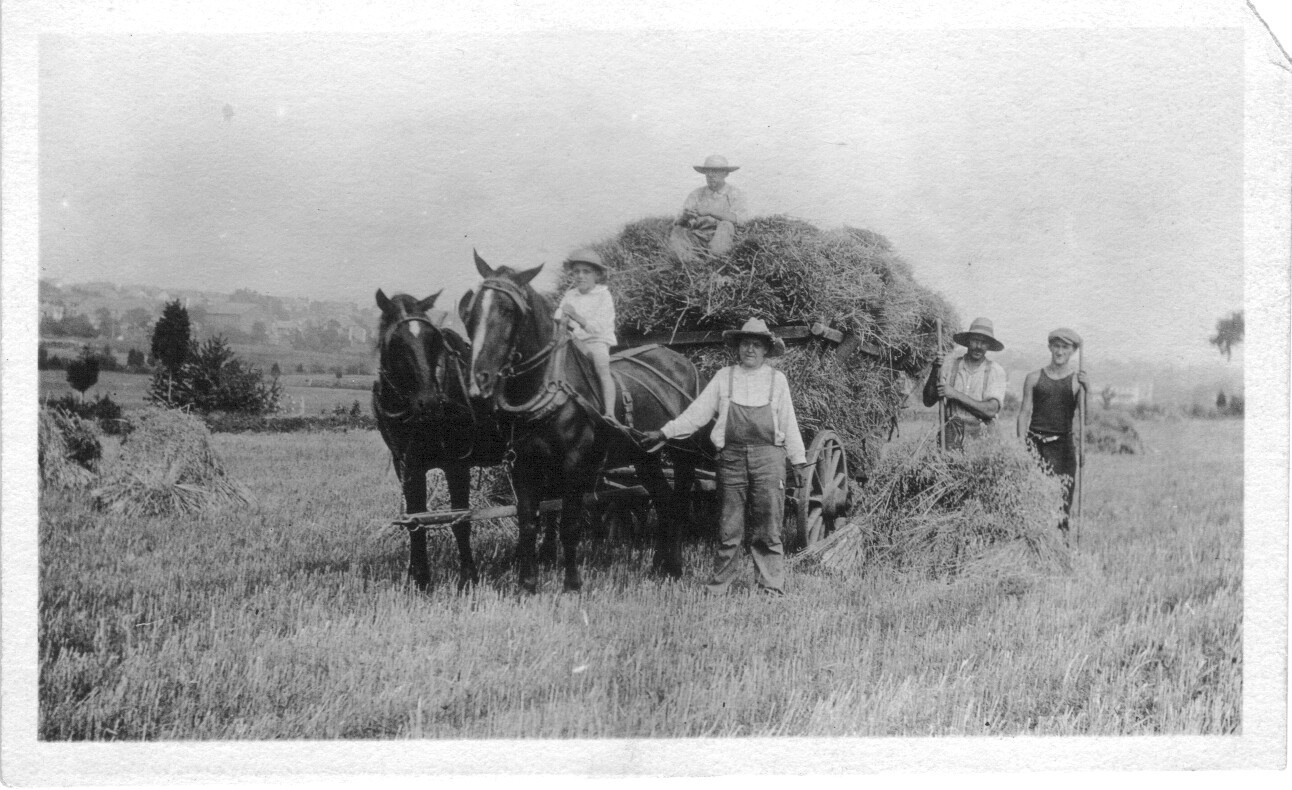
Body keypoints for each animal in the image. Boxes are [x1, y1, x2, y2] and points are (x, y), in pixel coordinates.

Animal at [372, 287, 506, 589]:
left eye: (433, 339)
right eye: (396, 343)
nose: (430, 403)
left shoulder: (457, 464)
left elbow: (460, 519)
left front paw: (469, 577)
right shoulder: (407, 465)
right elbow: (415, 519)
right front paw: (420, 579)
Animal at [465, 253, 702, 594]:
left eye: (509, 310)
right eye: (471, 312)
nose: (478, 381)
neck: (548, 386)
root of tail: (681, 361)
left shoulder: (574, 465)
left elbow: (569, 523)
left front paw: (572, 583)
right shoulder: (524, 465)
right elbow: (528, 523)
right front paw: (527, 584)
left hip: (684, 451)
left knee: (680, 502)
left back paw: (676, 565)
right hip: (645, 456)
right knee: (663, 500)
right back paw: (661, 565)